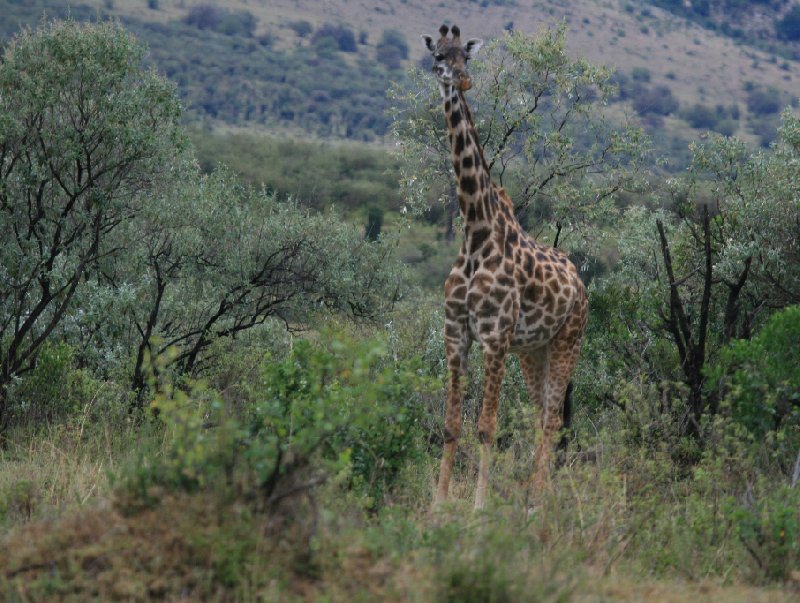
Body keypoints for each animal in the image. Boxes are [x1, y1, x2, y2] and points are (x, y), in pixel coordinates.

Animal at [422, 26, 592, 512]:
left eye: (466, 57)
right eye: (439, 56)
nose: (460, 81)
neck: (476, 230)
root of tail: (581, 285)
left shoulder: (495, 336)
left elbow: (486, 427)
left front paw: (479, 509)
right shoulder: (456, 334)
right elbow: (451, 426)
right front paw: (438, 507)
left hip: (567, 341)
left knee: (552, 419)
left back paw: (539, 502)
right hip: (533, 350)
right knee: (541, 417)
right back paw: (536, 496)